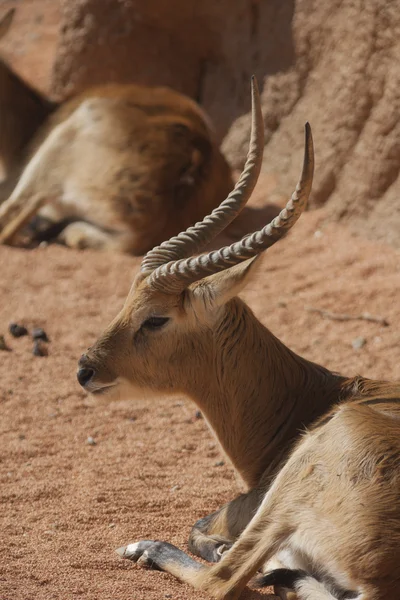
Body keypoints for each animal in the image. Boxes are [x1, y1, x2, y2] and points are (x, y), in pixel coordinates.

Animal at [76, 76, 400, 600]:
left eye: (155, 319)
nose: (86, 369)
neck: (318, 395)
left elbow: (201, 530)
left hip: (295, 482)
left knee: (221, 580)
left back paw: (147, 548)